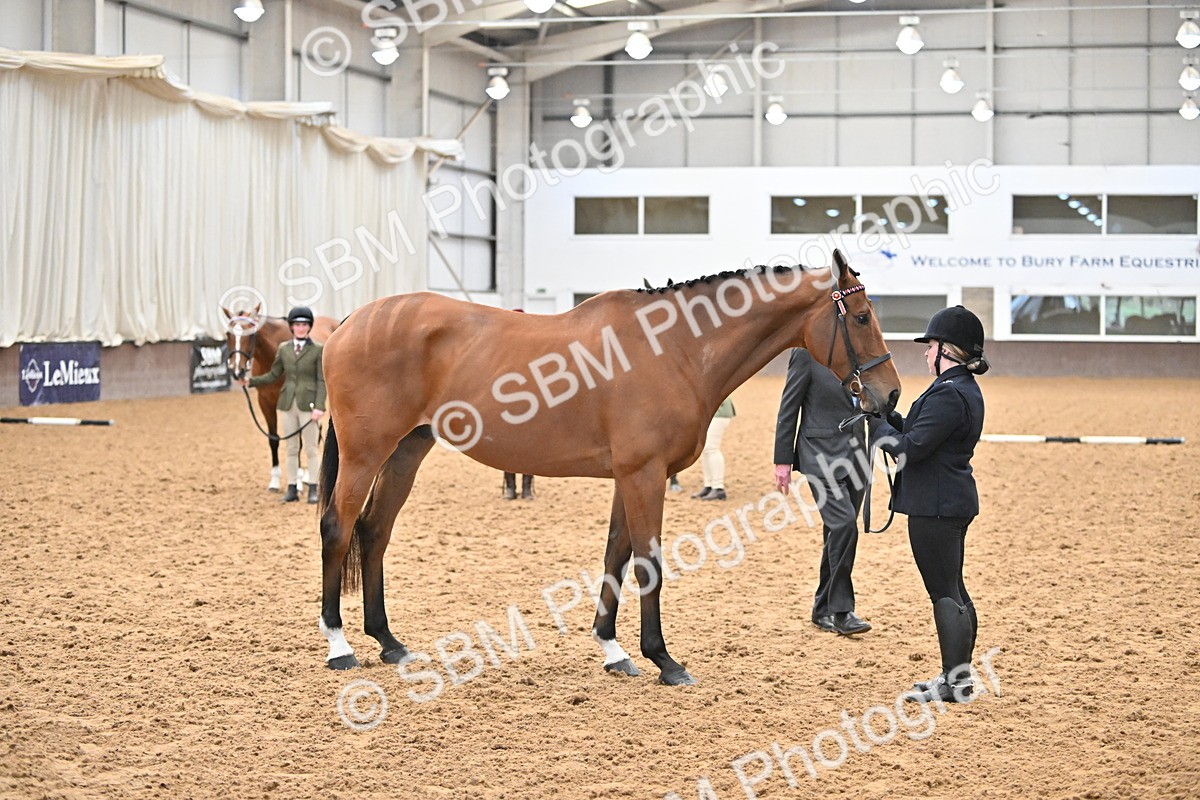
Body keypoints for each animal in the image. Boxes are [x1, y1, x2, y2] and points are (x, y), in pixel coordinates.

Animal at [315, 250, 902, 685]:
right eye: (863, 317)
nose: (891, 395)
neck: (675, 349)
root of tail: (350, 322)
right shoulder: (645, 474)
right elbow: (648, 563)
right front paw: (664, 659)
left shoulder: (631, 476)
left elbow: (615, 555)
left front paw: (613, 651)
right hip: (366, 454)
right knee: (339, 529)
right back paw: (340, 645)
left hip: (406, 452)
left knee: (375, 531)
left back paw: (389, 643)